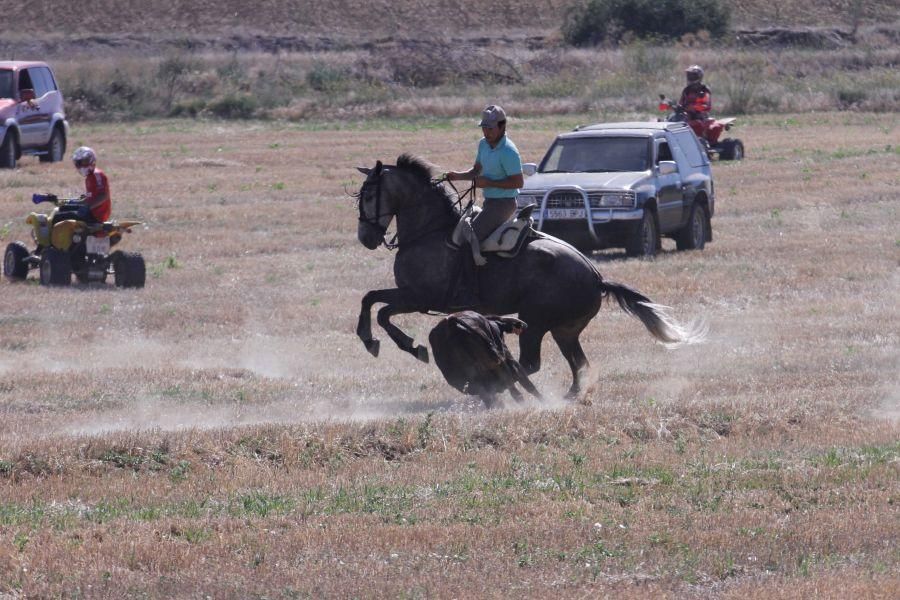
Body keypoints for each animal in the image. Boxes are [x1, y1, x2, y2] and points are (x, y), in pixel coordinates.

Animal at [356, 155, 708, 398]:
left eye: (370, 196)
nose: (365, 238)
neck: (429, 231)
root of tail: (596, 278)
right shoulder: (412, 296)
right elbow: (371, 300)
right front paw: (376, 339)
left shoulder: (418, 297)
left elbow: (380, 309)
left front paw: (401, 345)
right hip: (565, 330)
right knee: (578, 363)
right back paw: (567, 396)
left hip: (535, 323)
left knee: (527, 364)